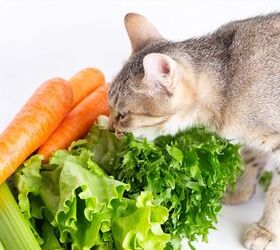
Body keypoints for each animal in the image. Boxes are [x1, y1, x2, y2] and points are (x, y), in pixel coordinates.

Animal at [108, 12, 280, 249]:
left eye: (123, 115)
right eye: (109, 105)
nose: (109, 128)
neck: (227, 81)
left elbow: (276, 195)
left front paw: (266, 230)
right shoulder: (252, 138)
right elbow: (251, 159)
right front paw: (240, 191)